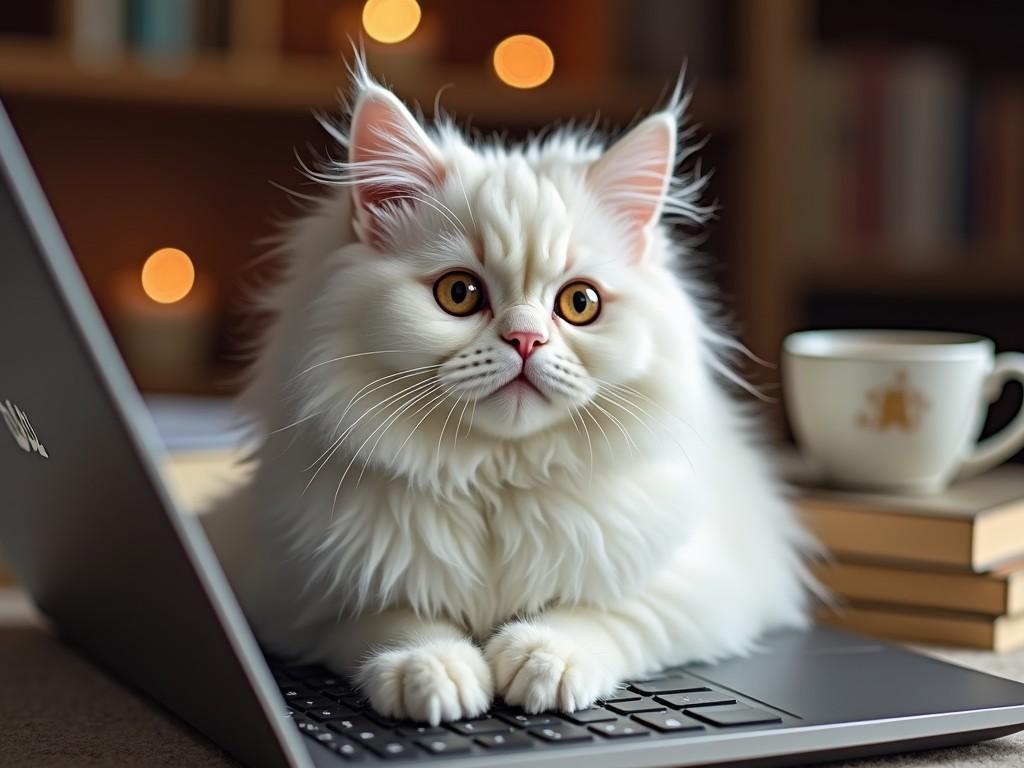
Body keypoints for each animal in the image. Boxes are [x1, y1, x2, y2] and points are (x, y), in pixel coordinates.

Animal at [201, 61, 815, 729]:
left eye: (580, 303)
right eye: (459, 293)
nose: (525, 339)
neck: (496, 478)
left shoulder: (703, 588)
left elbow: (597, 614)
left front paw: (542, 662)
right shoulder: (299, 596)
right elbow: (397, 620)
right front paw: (435, 675)